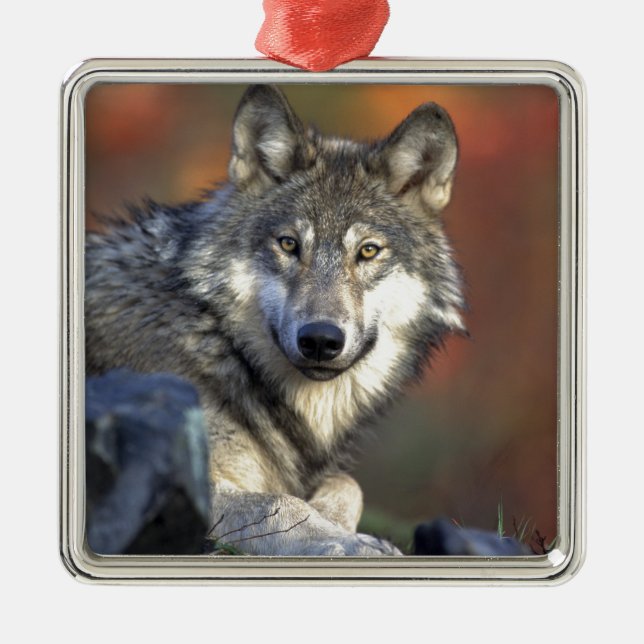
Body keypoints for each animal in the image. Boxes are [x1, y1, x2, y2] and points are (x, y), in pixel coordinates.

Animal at [85, 85, 464, 556]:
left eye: (368, 251)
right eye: (288, 244)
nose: (320, 340)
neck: (219, 343)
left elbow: (347, 484)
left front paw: (341, 524)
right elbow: (281, 504)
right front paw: (352, 543)